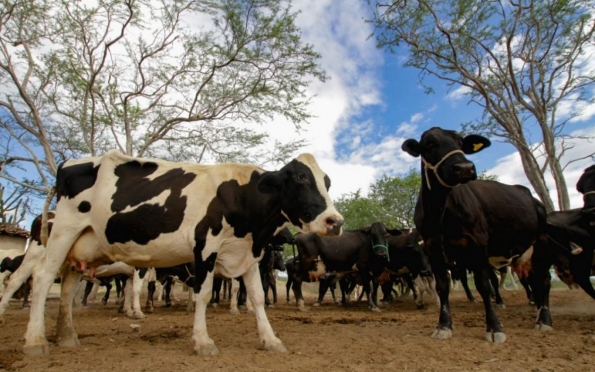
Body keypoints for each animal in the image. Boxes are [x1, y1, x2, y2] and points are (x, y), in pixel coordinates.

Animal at [23, 151, 342, 358]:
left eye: (327, 182)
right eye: (300, 177)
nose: (335, 221)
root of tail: (69, 163)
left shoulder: (248, 254)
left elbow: (258, 297)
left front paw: (271, 339)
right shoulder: (205, 248)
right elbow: (203, 295)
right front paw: (202, 342)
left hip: (81, 245)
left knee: (67, 286)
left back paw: (66, 336)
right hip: (64, 231)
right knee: (42, 277)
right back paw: (36, 341)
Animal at [402, 127, 552, 342]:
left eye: (460, 142)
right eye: (429, 143)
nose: (464, 167)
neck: (440, 210)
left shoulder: (478, 245)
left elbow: (484, 286)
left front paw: (494, 327)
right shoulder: (434, 249)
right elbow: (442, 286)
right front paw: (444, 325)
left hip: (540, 243)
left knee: (544, 279)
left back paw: (544, 319)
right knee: (533, 279)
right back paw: (538, 310)